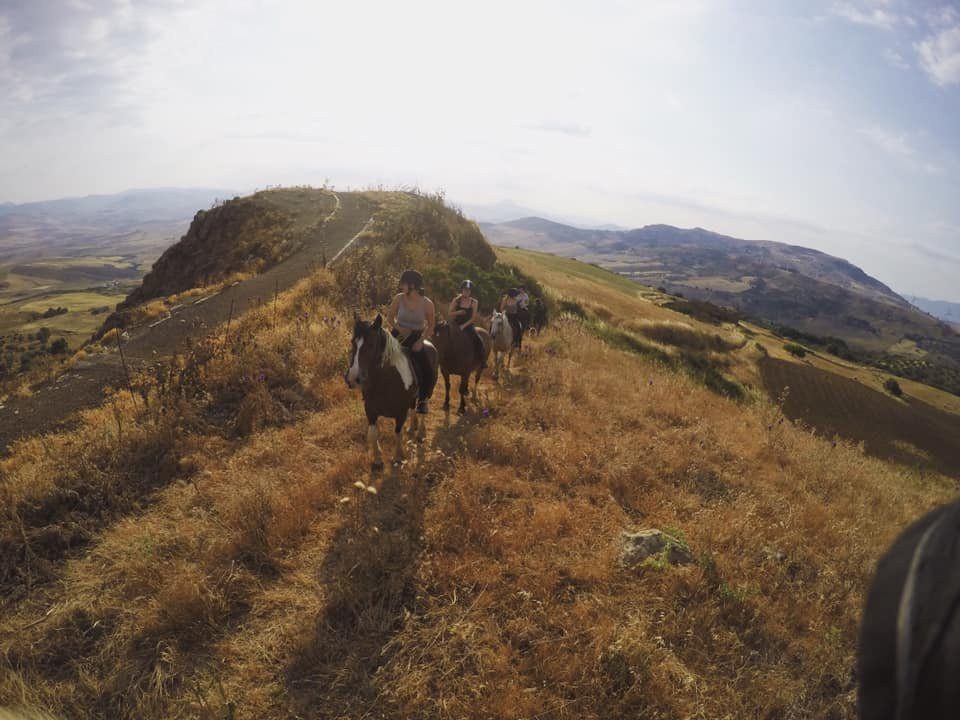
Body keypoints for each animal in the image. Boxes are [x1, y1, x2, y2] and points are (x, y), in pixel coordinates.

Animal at [344, 312, 436, 470]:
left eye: (371, 344)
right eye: (352, 342)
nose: (352, 379)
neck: (386, 381)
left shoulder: (400, 413)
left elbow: (397, 433)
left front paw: (397, 457)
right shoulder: (370, 410)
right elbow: (373, 434)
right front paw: (377, 461)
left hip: (428, 391)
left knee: (423, 408)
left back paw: (420, 433)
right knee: (413, 408)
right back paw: (412, 428)